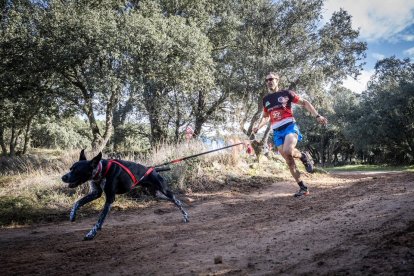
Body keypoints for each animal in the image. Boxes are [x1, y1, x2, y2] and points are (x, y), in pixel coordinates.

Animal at [61, 150, 189, 240]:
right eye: (70, 168)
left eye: (77, 170)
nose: (63, 177)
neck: (102, 170)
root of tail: (153, 170)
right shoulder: (95, 194)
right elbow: (77, 202)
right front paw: (72, 215)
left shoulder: (110, 199)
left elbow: (100, 219)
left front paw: (91, 233)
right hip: (156, 194)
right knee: (174, 200)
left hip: (164, 190)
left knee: (177, 201)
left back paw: (186, 216)